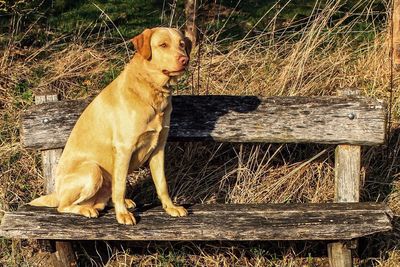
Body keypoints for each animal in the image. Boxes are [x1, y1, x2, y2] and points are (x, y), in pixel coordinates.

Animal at [28, 28, 191, 226]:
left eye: (182, 44)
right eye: (163, 45)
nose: (185, 60)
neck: (152, 90)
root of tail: (56, 192)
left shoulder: (158, 148)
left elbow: (162, 184)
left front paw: (170, 207)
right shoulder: (124, 148)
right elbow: (120, 187)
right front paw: (122, 215)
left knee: (104, 198)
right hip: (93, 171)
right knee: (64, 206)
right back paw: (87, 209)